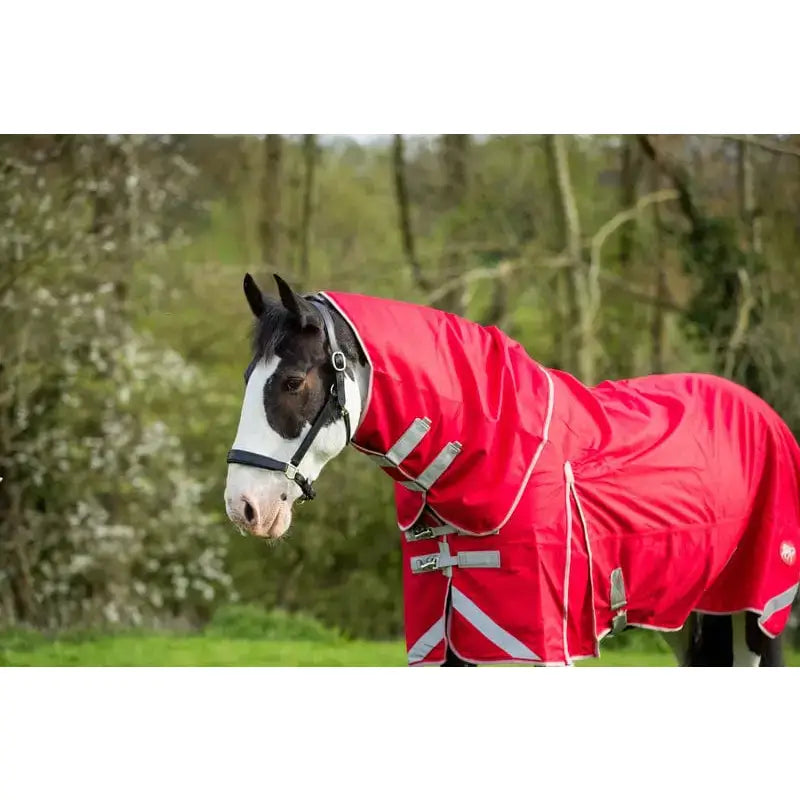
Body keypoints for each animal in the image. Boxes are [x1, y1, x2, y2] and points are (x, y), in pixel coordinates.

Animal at [224, 272, 800, 667]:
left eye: (293, 382)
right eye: (248, 378)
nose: (243, 506)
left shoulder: (538, 642)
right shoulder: (444, 639)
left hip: (758, 611)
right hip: (685, 614)